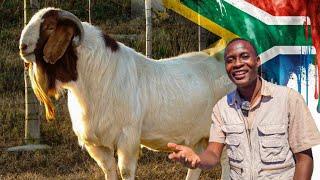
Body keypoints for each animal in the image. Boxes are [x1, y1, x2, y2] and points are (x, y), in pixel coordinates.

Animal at [20, 7, 234, 180]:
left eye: (49, 26)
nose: (23, 47)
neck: (97, 74)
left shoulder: (127, 137)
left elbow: (125, 171)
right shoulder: (97, 144)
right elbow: (109, 170)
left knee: (227, 163)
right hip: (199, 135)